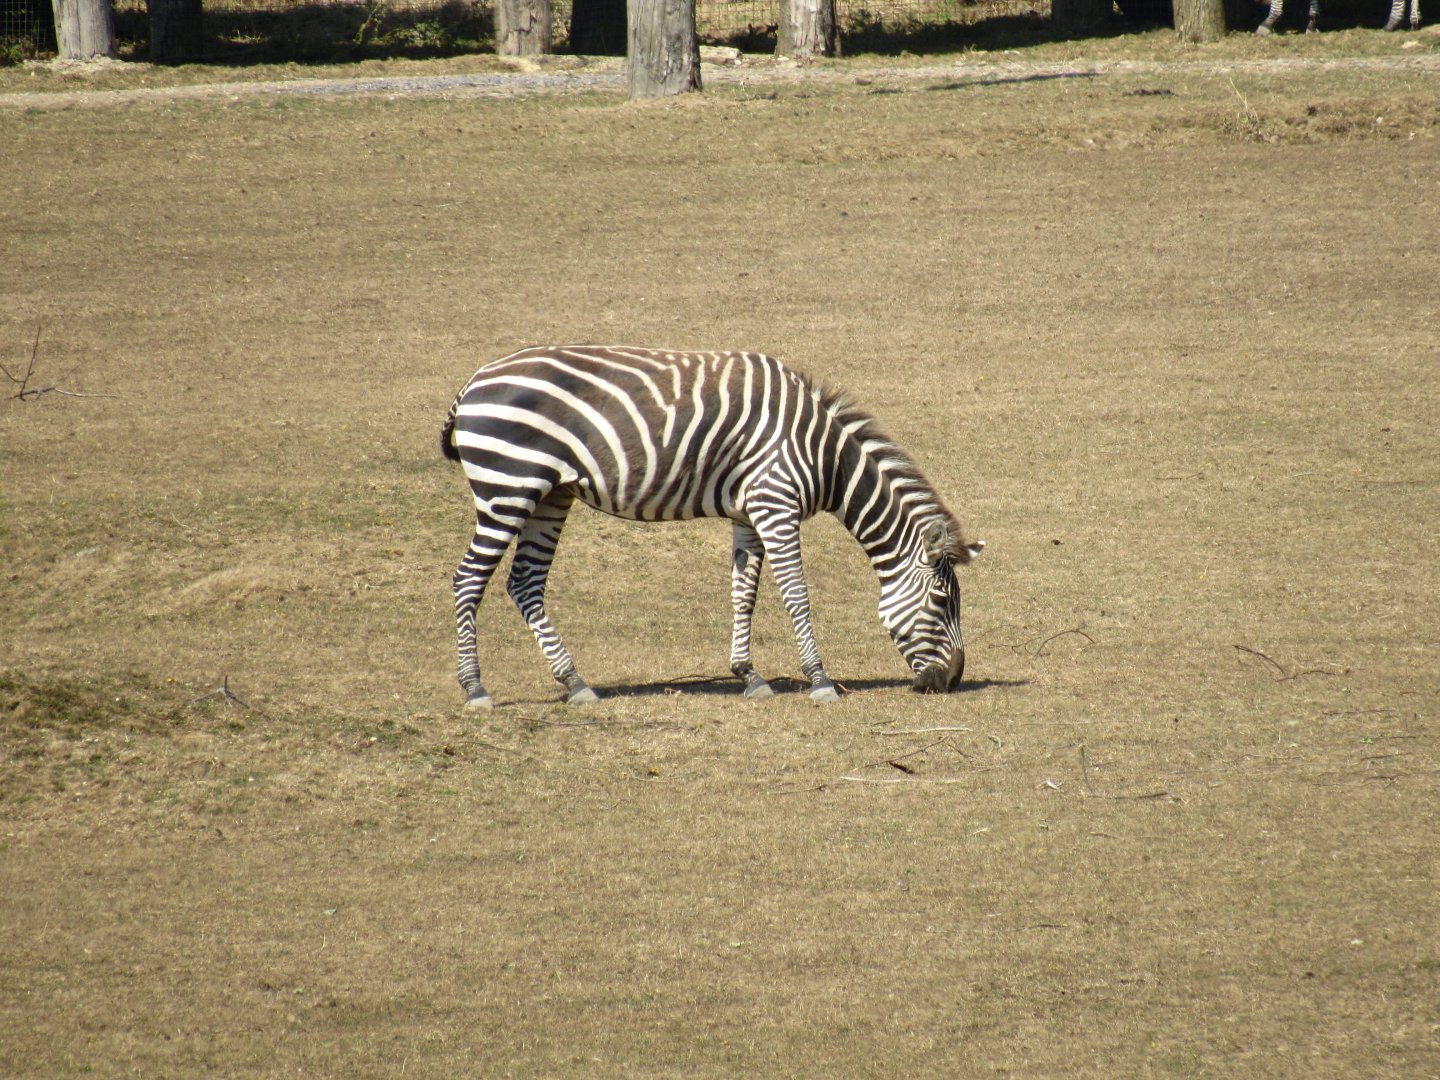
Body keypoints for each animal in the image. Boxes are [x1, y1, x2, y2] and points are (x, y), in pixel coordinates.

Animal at [440, 345, 985, 708]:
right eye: (943, 601)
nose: (953, 682)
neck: (825, 455)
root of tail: (474, 381)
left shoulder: (750, 512)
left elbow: (745, 593)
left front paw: (749, 676)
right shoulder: (776, 504)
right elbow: (796, 595)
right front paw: (820, 681)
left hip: (549, 494)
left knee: (525, 583)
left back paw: (575, 682)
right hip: (507, 487)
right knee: (469, 580)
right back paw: (475, 688)